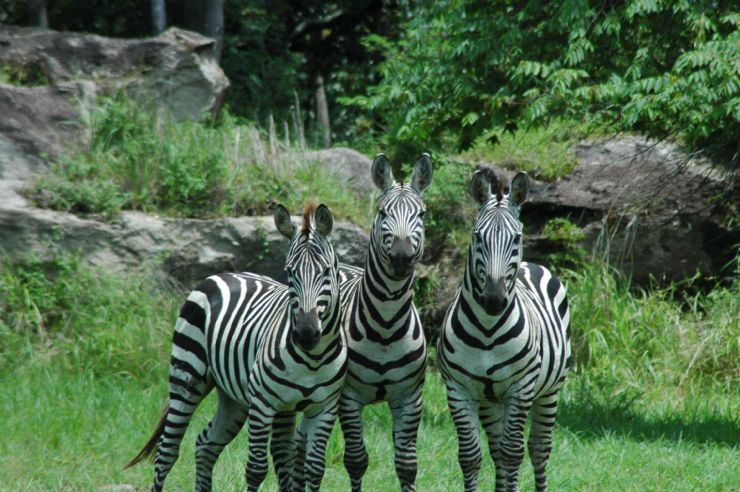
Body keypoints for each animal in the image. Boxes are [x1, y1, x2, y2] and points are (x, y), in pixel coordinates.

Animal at [124, 202, 346, 490]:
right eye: (289, 272)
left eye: (327, 271)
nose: (306, 334)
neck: (313, 359)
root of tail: (222, 273)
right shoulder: (262, 403)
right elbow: (257, 469)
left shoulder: (324, 408)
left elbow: (315, 469)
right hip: (186, 377)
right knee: (167, 452)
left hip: (233, 398)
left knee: (205, 443)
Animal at [336, 154, 434, 492]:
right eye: (382, 213)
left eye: (421, 214)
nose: (402, 257)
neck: (387, 325)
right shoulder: (348, 397)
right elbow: (356, 460)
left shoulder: (410, 398)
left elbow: (407, 464)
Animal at [436, 169, 576, 492]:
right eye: (477, 236)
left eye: (517, 238)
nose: (494, 299)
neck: (487, 331)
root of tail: (530, 264)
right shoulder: (458, 389)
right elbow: (471, 456)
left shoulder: (521, 388)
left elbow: (514, 454)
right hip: (492, 401)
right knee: (497, 449)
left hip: (549, 390)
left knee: (538, 449)